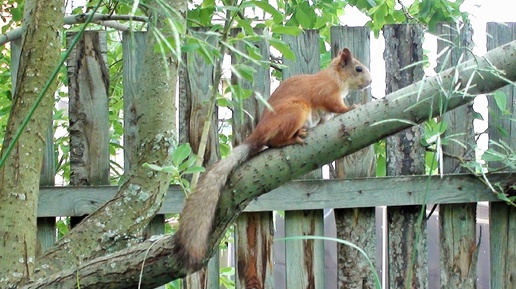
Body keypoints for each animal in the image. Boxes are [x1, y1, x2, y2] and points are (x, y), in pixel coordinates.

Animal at [173, 46, 370, 268]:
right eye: (358, 68)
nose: (370, 81)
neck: (335, 77)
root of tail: (258, 133)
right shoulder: (327, 93)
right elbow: (336, 106)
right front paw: (351, 108)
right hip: (296, 110)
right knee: (275, 142)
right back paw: (293, 138)